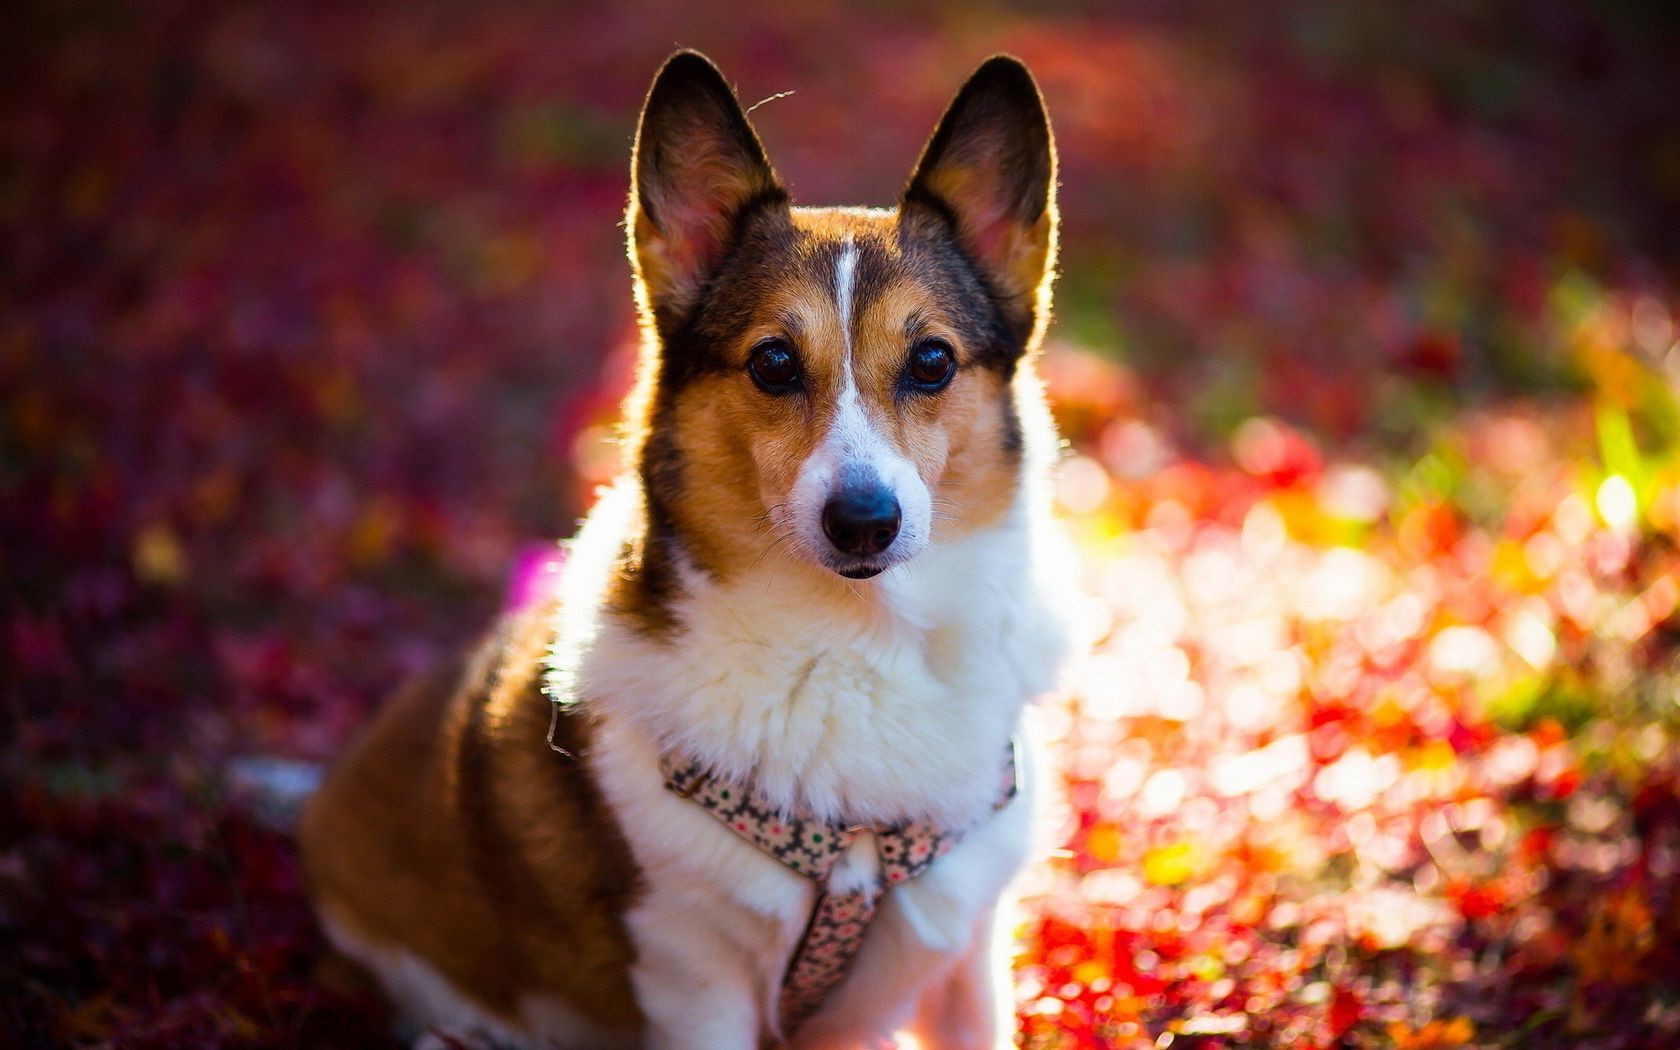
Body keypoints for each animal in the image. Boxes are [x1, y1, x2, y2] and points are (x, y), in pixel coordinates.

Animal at [297, 51, 1068, 1048]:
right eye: (773, 362)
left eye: (932, 361)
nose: (865, 521)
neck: (857, 647)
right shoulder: (693, 978)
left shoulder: (969, 956)